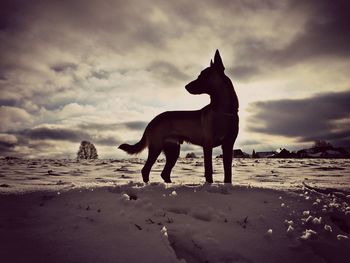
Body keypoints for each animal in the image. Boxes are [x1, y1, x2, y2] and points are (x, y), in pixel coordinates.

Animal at [119, 50, 238, 185]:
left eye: (203, 75)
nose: (186, 86)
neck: (223, 111)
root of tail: (152, 120)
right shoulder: (208, 145)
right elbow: (209, 170)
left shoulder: (228, 145)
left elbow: (228, 172)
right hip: (156, 147)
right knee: (146, 170)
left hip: (173, 150)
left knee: (164, 173)